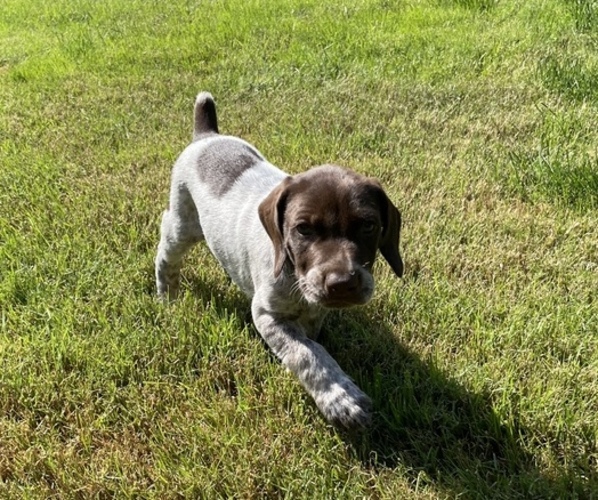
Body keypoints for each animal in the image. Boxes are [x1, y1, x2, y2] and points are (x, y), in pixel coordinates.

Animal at [157, 92, 406, 428]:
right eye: (303, 229)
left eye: (368, 226)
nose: (342, 283)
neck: (294, 275)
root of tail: (207, 135)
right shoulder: (268, 314)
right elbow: (308, 354)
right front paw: (340, 397)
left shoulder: (313, 312)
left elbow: (310, 340)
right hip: (183, 224)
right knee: (166, 249)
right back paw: (166, 295)